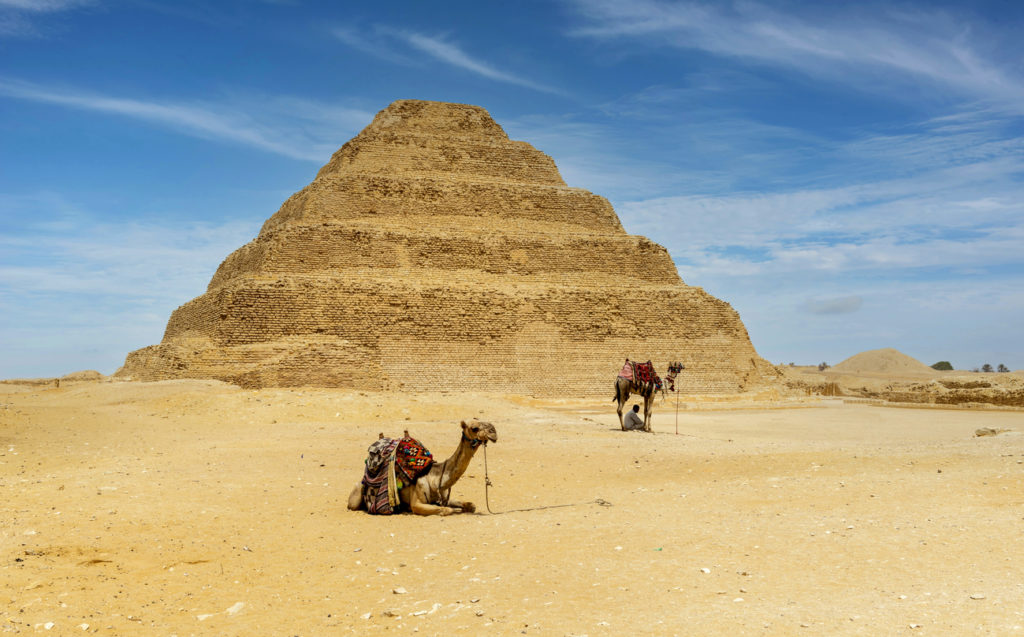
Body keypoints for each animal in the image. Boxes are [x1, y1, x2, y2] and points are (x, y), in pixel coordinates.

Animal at [350, 419, 497, 520]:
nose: (493, 432)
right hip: (356, 495)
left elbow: (471, 505)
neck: (435, 477)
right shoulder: (417, 502)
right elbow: (446, 510)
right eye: (474, 428)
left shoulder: (444, 496)